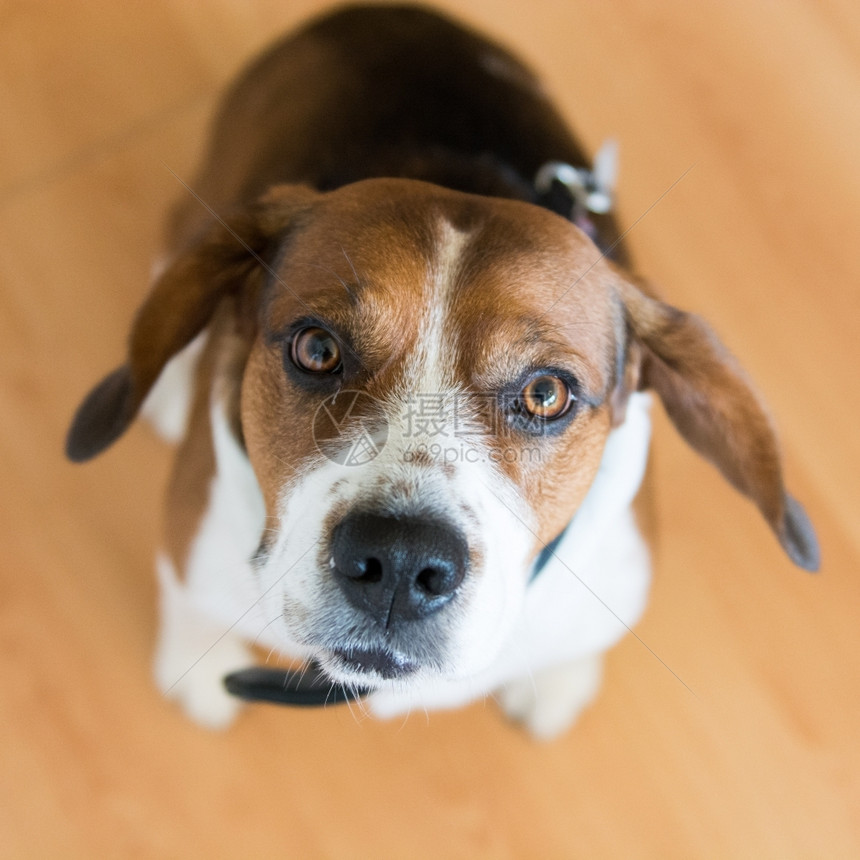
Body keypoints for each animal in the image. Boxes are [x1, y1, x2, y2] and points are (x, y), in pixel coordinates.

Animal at [67, 5, 820, 740]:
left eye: (547, 393)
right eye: (317, 349)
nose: (400, 562)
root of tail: (385, 13)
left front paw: (561, 681)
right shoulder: (190, 551)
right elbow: (192, 608)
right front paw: (196, 667)